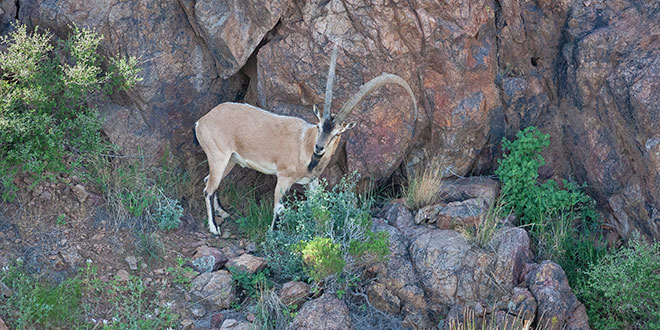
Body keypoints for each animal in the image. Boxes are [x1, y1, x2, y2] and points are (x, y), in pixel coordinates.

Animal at [193, 44, 416, 235]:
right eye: (318, 126)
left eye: (337, 133)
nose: (319, 148)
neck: (305, 145)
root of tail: (202, 121)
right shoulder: (283, 178)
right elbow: (278, 209)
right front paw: (273, 236)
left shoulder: (312, 182)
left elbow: (319, 208)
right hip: (219, 156)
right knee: (208, 189)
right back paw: (214, 229)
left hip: (230, 160)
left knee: (209, 182)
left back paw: (223, 213)